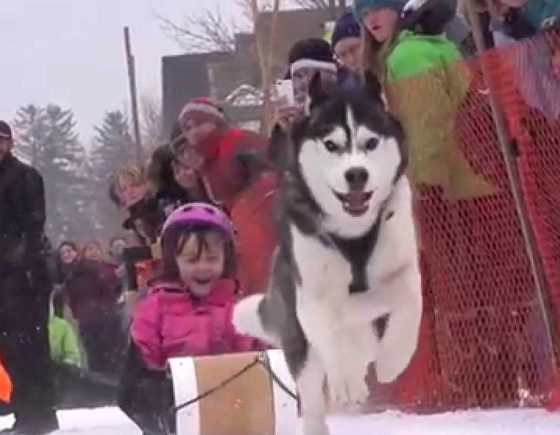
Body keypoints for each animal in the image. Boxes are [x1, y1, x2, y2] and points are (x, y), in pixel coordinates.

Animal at [234, 76, 422, 435]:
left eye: (370, 142)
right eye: (331, 145)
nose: (356, 174)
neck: (353, 233)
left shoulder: (402, 267)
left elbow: (409, 303)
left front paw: (393, 359)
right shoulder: (314, 296)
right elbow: (330, 334)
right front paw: (345, 380)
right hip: (301, 347)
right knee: (315, 394)